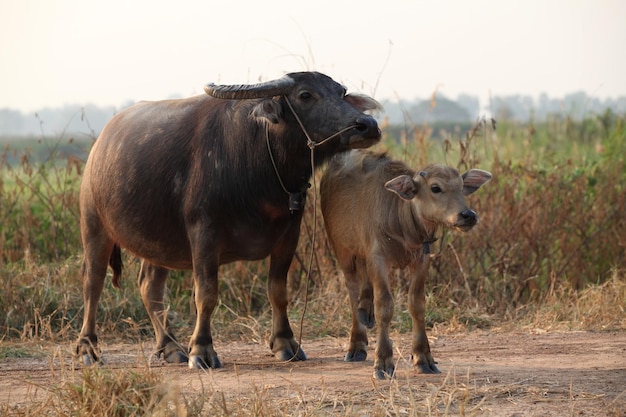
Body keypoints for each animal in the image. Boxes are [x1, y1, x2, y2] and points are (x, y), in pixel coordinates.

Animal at [77, 71, 380, 368]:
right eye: (305, 95)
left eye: (341, 93)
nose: (367, 125)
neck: (260, 164)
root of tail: (98, 148)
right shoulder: (204, 233)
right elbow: (206, 294)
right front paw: (201, 350)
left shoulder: (289, 233)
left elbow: (277, 290)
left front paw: (285, 343)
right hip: (94, 225)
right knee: (93, 281)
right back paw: (88, 349)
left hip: (159, 243)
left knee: (149, 286)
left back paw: (171, 347)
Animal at [320, 150, 490, 376]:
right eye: (435, 188)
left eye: (462, 187)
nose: (468, 215)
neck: (403, 223)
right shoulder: (378, 259)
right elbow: (385, 306)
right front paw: (383, 361)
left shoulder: (421, 259)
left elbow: (417, 304)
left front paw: (423, 357)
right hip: (343, 251)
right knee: (352, 290)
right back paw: (356, 344)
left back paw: (366, 312)